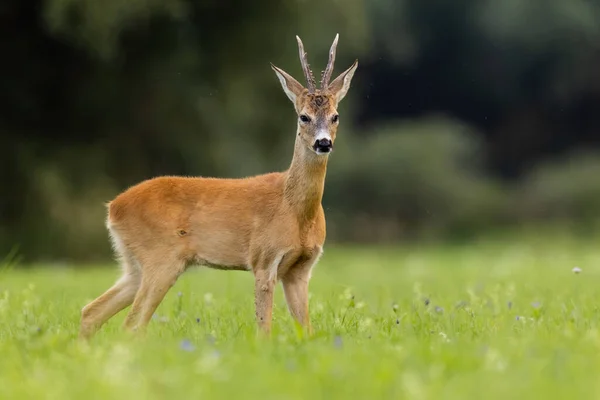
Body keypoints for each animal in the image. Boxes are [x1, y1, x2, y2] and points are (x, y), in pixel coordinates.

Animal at [81, 35, 360, 340]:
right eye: (303, 117)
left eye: (335, 116)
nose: (323, 143)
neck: (295, 211)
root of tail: (113, 208)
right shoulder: (263, 259)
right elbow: (264, 328)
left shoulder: (300, 269)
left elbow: (306, 331)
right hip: (160, 259)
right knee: (130, 324)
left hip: (134, 265)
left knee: (91, 312)